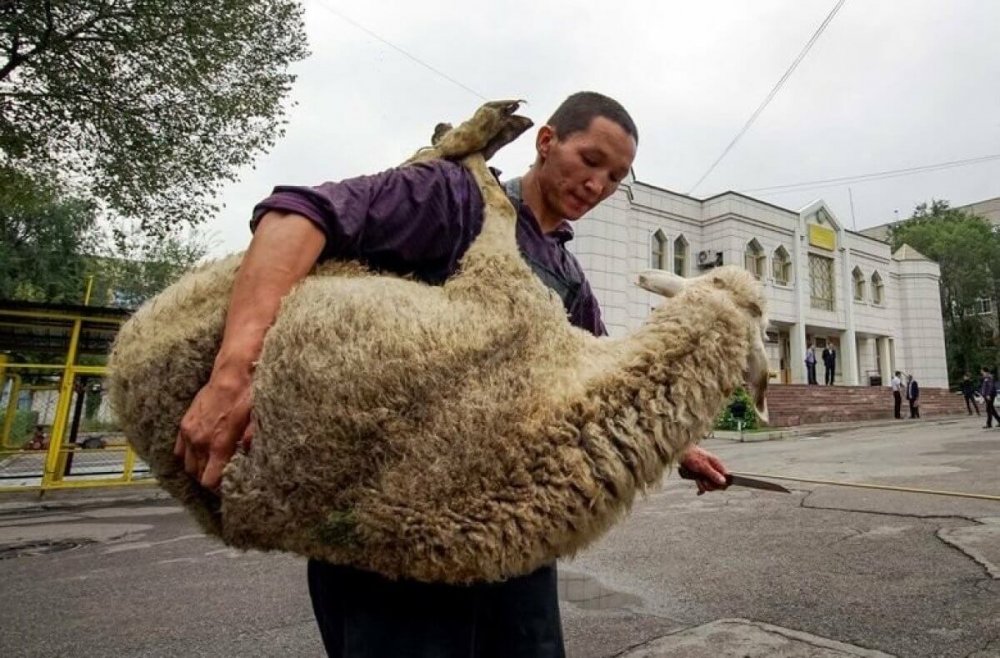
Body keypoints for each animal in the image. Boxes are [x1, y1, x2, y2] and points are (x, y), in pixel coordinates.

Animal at [109, 100, 768, 580]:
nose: (648, 278)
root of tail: (120, 368)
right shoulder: (504, 289)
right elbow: (499, 204)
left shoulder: (500, 286)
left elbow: (499, 208)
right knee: (327, 198)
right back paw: (479, 130)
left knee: (432, 165)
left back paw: (477, 129)